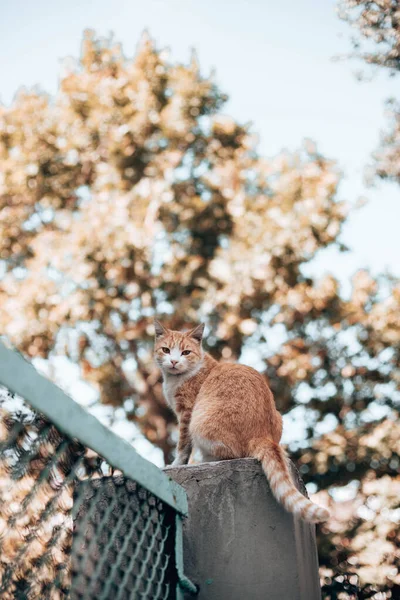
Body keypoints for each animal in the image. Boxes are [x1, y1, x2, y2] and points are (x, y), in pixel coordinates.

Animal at [155, 322, 330, 524]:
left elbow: (183, 446)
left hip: (199, 422)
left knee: (231, 454)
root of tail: (262, 435)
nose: (174, 361)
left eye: (185, 352)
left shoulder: (187, 413)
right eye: (166, 350)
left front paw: (176, 464)